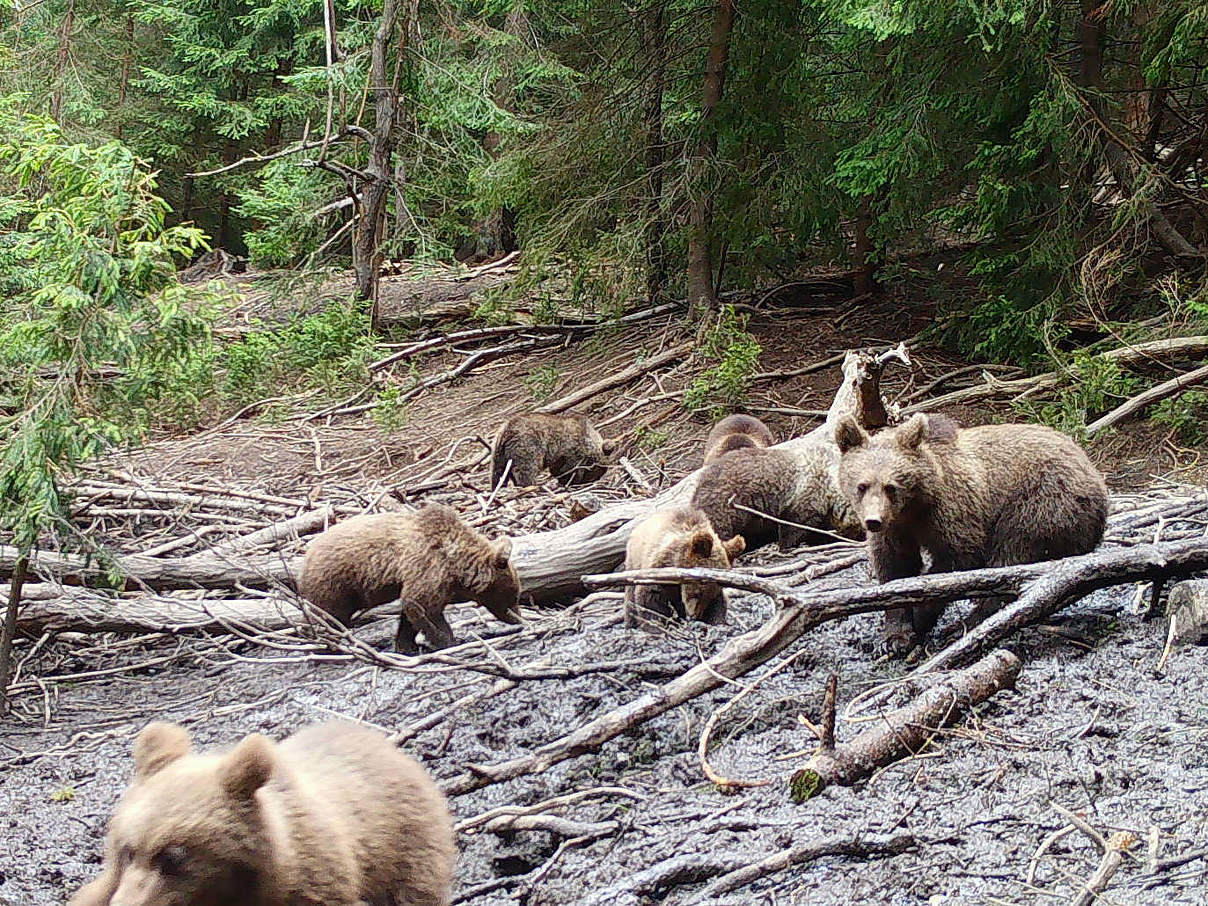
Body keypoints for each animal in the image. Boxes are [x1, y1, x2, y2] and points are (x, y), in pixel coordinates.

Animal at [299, 504, 521, 652]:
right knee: (329, 615)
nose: (519, 618)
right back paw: (328, 644)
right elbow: (422, 606)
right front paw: (445, 640)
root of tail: (306, 557)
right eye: (514, 595)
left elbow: (411, 612)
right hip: (335, 584)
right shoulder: (428, 567)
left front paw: (406, 645)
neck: (456, 564)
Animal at [835, 415, 1106, 657]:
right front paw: (895, 637)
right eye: (862, 486)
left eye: (890, 487)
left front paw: (921, 618)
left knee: (1012, 556)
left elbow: (956, 560)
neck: (913, 507)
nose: (873, 520)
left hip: (1041, 503)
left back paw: (966, 625)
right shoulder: (896, 529)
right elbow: (895, 568)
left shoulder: (953, 510)